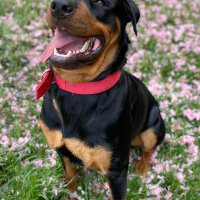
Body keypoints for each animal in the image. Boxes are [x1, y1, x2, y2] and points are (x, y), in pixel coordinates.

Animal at [38, 0, 166, 199]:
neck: (79, 87)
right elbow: (70, 180)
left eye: (100, 2)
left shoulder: (116, 170)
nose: (59, 6)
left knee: (148, 148)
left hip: (153, 125)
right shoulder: (62, 151)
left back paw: (142, 167)